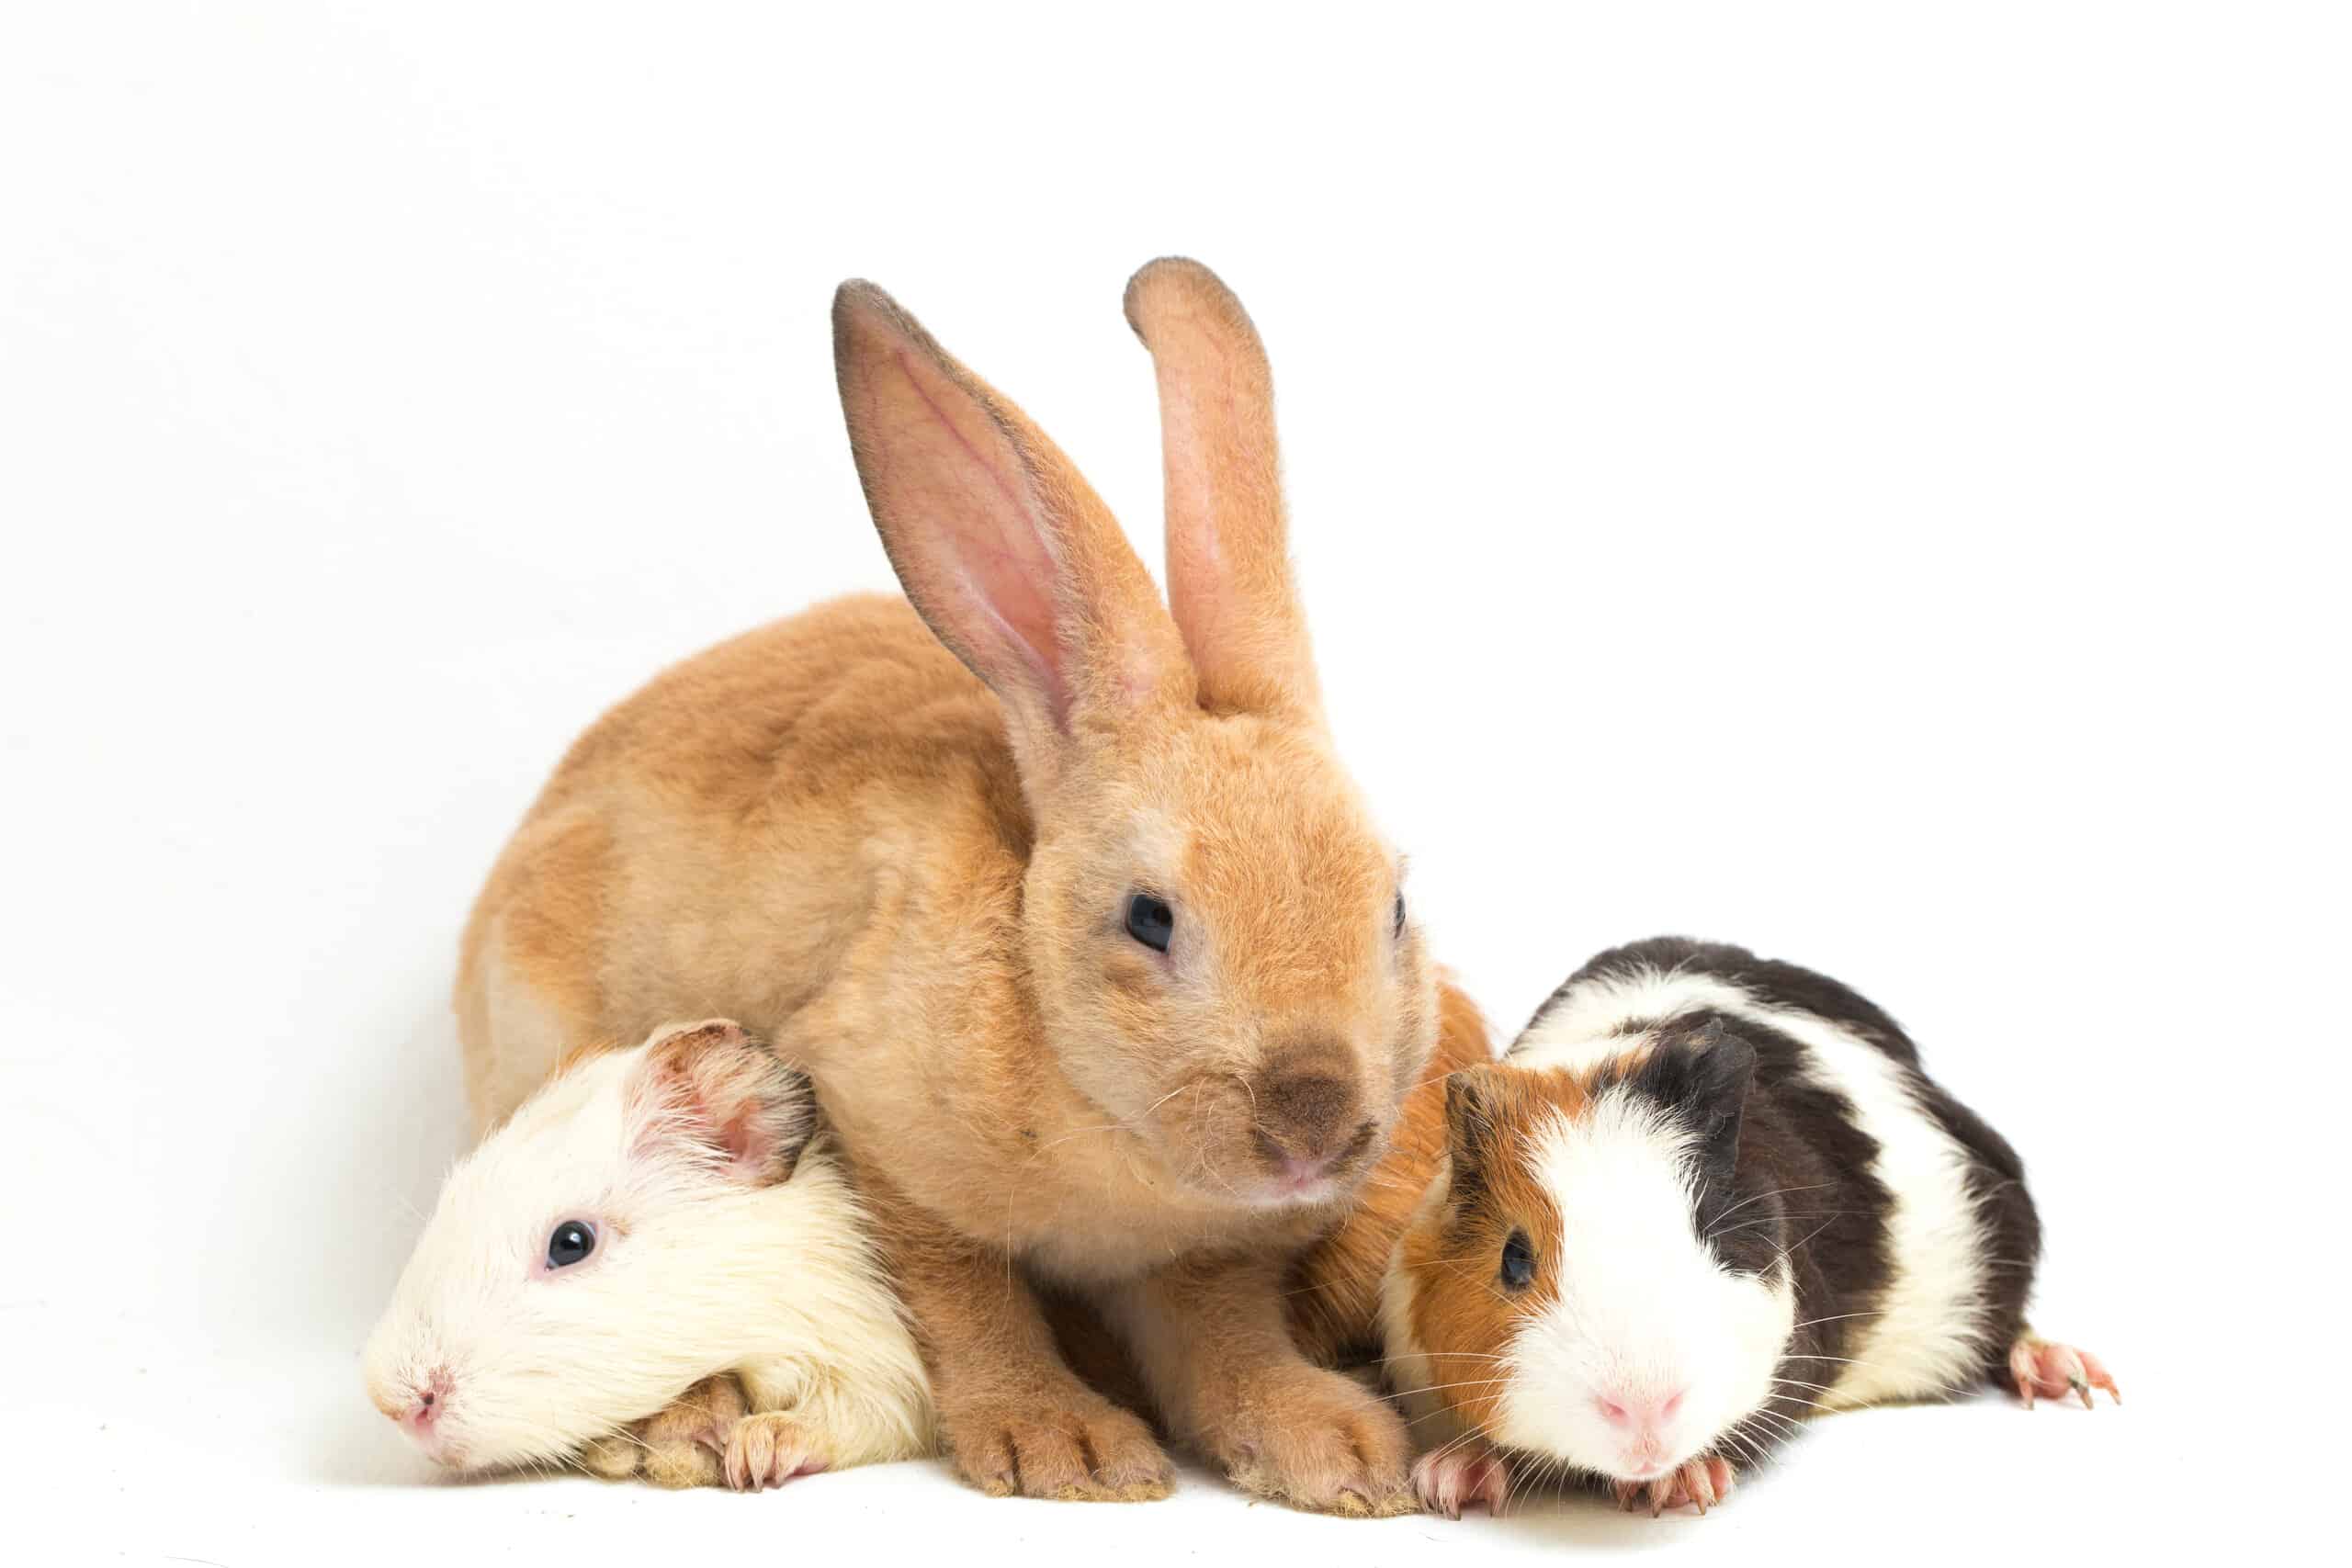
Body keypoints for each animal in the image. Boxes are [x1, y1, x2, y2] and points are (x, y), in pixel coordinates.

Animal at [453, 260, 1439, 1513]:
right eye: (1150, 918)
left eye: (1393, 907)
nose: (1313, 1119)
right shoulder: (882, 1142)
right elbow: (968, 1304)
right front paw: (1063, 1449)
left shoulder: (1207, 1261)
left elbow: (1222, 1337)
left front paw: (1335, 1453)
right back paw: (677, 1434)